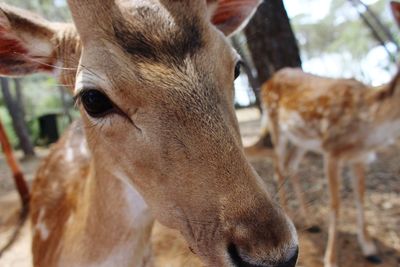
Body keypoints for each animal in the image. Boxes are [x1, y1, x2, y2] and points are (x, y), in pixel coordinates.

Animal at [256, 2, 400, 267]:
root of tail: (269, 80)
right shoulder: (331, 150)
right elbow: (336, 203)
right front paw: (331, 258)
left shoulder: (360, 157)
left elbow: (360, 197)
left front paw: (369, 248)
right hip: (275, 123)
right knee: (278, 166)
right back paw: (290, 216)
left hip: (302, 139)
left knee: (291, 165)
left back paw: (311, 222)